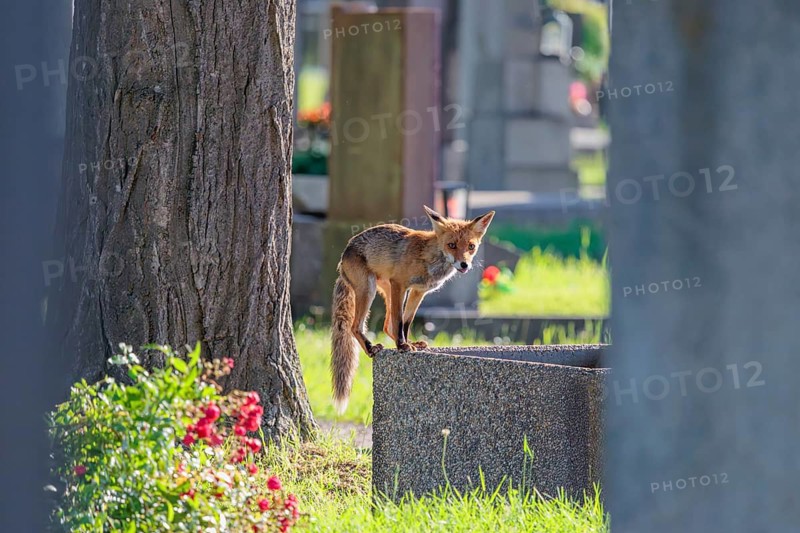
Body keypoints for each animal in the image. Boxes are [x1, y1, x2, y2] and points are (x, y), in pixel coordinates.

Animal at [330, 205, 495, 413]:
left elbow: (406, 321)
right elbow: (399, 319)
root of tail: (343, 256)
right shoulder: (399, 284)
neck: (429, 257)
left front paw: (408, 343)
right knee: (355, 326)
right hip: (369, 290)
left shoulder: (418, 291)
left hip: (384, 290)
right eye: (452, 245)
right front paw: (402, 346)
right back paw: (370, 348)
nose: (464, 264)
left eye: (471, 246)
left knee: (386, 326)